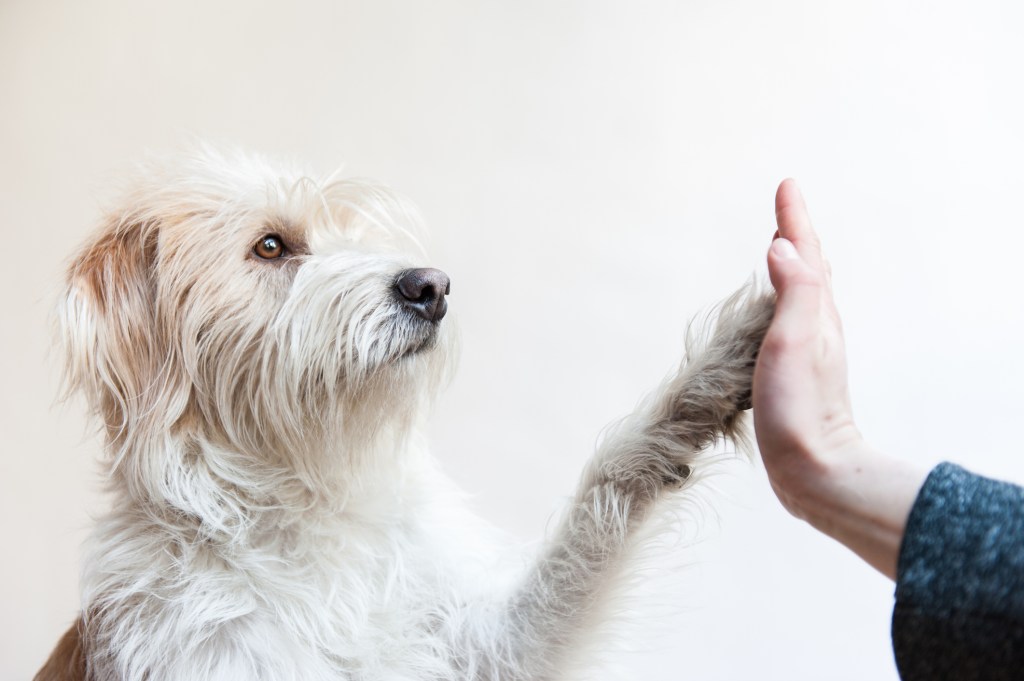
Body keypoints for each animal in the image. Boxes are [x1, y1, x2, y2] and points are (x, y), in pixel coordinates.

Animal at [34, 150, 774, 679]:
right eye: (270, 246)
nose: (431, 286)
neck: (309, 500)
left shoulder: (488, 647)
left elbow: (599, 508)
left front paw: (710, 376)